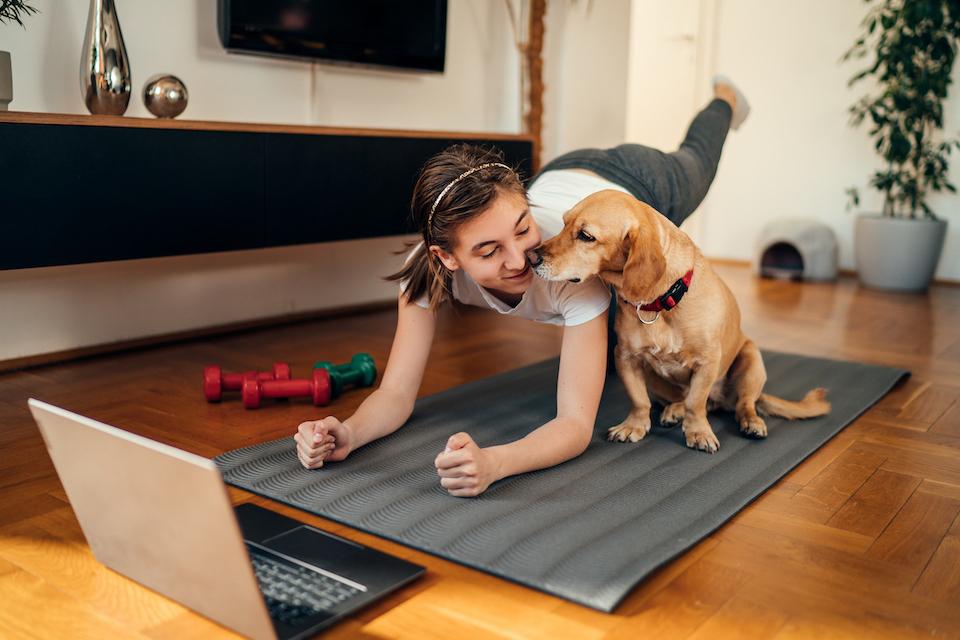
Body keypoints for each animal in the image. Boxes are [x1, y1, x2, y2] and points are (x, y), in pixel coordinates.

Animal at [528, 191, 828, 456]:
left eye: (586, 236)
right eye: (564, 223)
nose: (532, 257)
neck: (663, 302)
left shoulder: (707, 363)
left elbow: (696, 403)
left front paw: (698, 433)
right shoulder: (626, 357)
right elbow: (640, 401)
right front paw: (634, 426)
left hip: (751, 359)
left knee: (742, 404)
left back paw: (750, 422)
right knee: (685, 401)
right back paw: (674, 410)